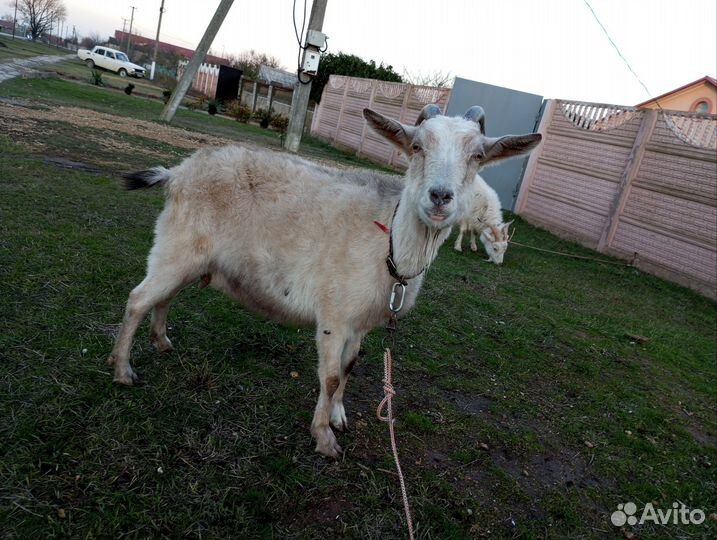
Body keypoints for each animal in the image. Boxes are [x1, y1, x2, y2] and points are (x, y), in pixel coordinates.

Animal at [108, 104, 541, 458]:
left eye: (478, 155)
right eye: (417, 146)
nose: (440, 197)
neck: (389, 243)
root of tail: (177, 172)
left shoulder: (361, 322)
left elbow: (349, 366)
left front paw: (338, 417)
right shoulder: (334, 314)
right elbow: (331, 376)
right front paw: (323, 438)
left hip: (190, 258)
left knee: (163, 298)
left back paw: (162, 342)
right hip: (176, 247)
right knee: (138, 299)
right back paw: (123, 370)